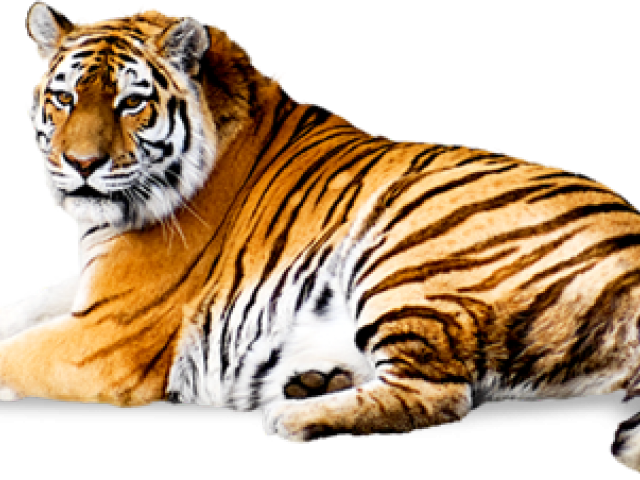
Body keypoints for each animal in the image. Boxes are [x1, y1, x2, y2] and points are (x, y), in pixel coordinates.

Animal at [5, 1, 639, 470]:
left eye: (131, 103)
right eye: (63, 99)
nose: (80, 165)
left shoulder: (108, 335)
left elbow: (11, 352)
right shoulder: (91, 290)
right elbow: (19, 311)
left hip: (408, 250)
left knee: (443, 394)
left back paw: (292, 416)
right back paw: (313, 381)